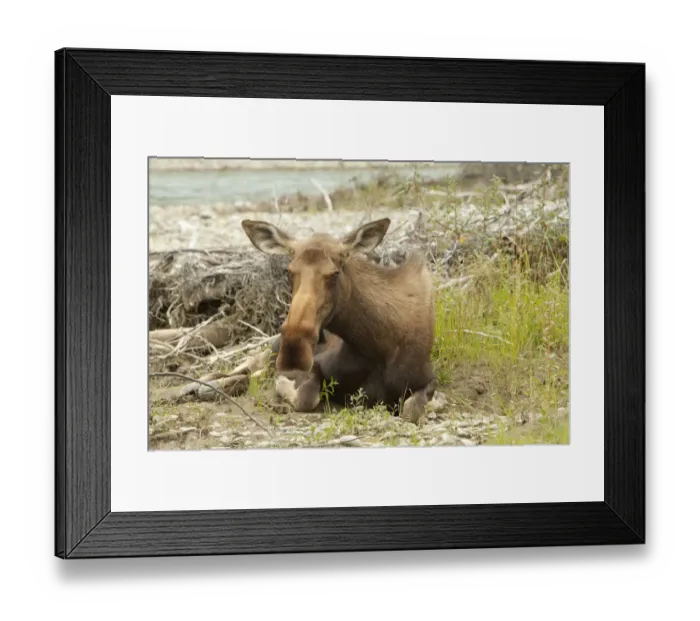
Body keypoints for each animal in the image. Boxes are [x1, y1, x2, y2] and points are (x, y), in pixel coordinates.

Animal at [240, 217, 438, 424]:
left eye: (334, 274)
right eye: (289, 271)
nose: (294, 348)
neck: (377, 347)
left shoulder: (427, 379)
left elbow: (411, 410)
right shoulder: (316, 365)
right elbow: (306, 396)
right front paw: (281, 383)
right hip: (273, 349)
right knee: (250, 363)